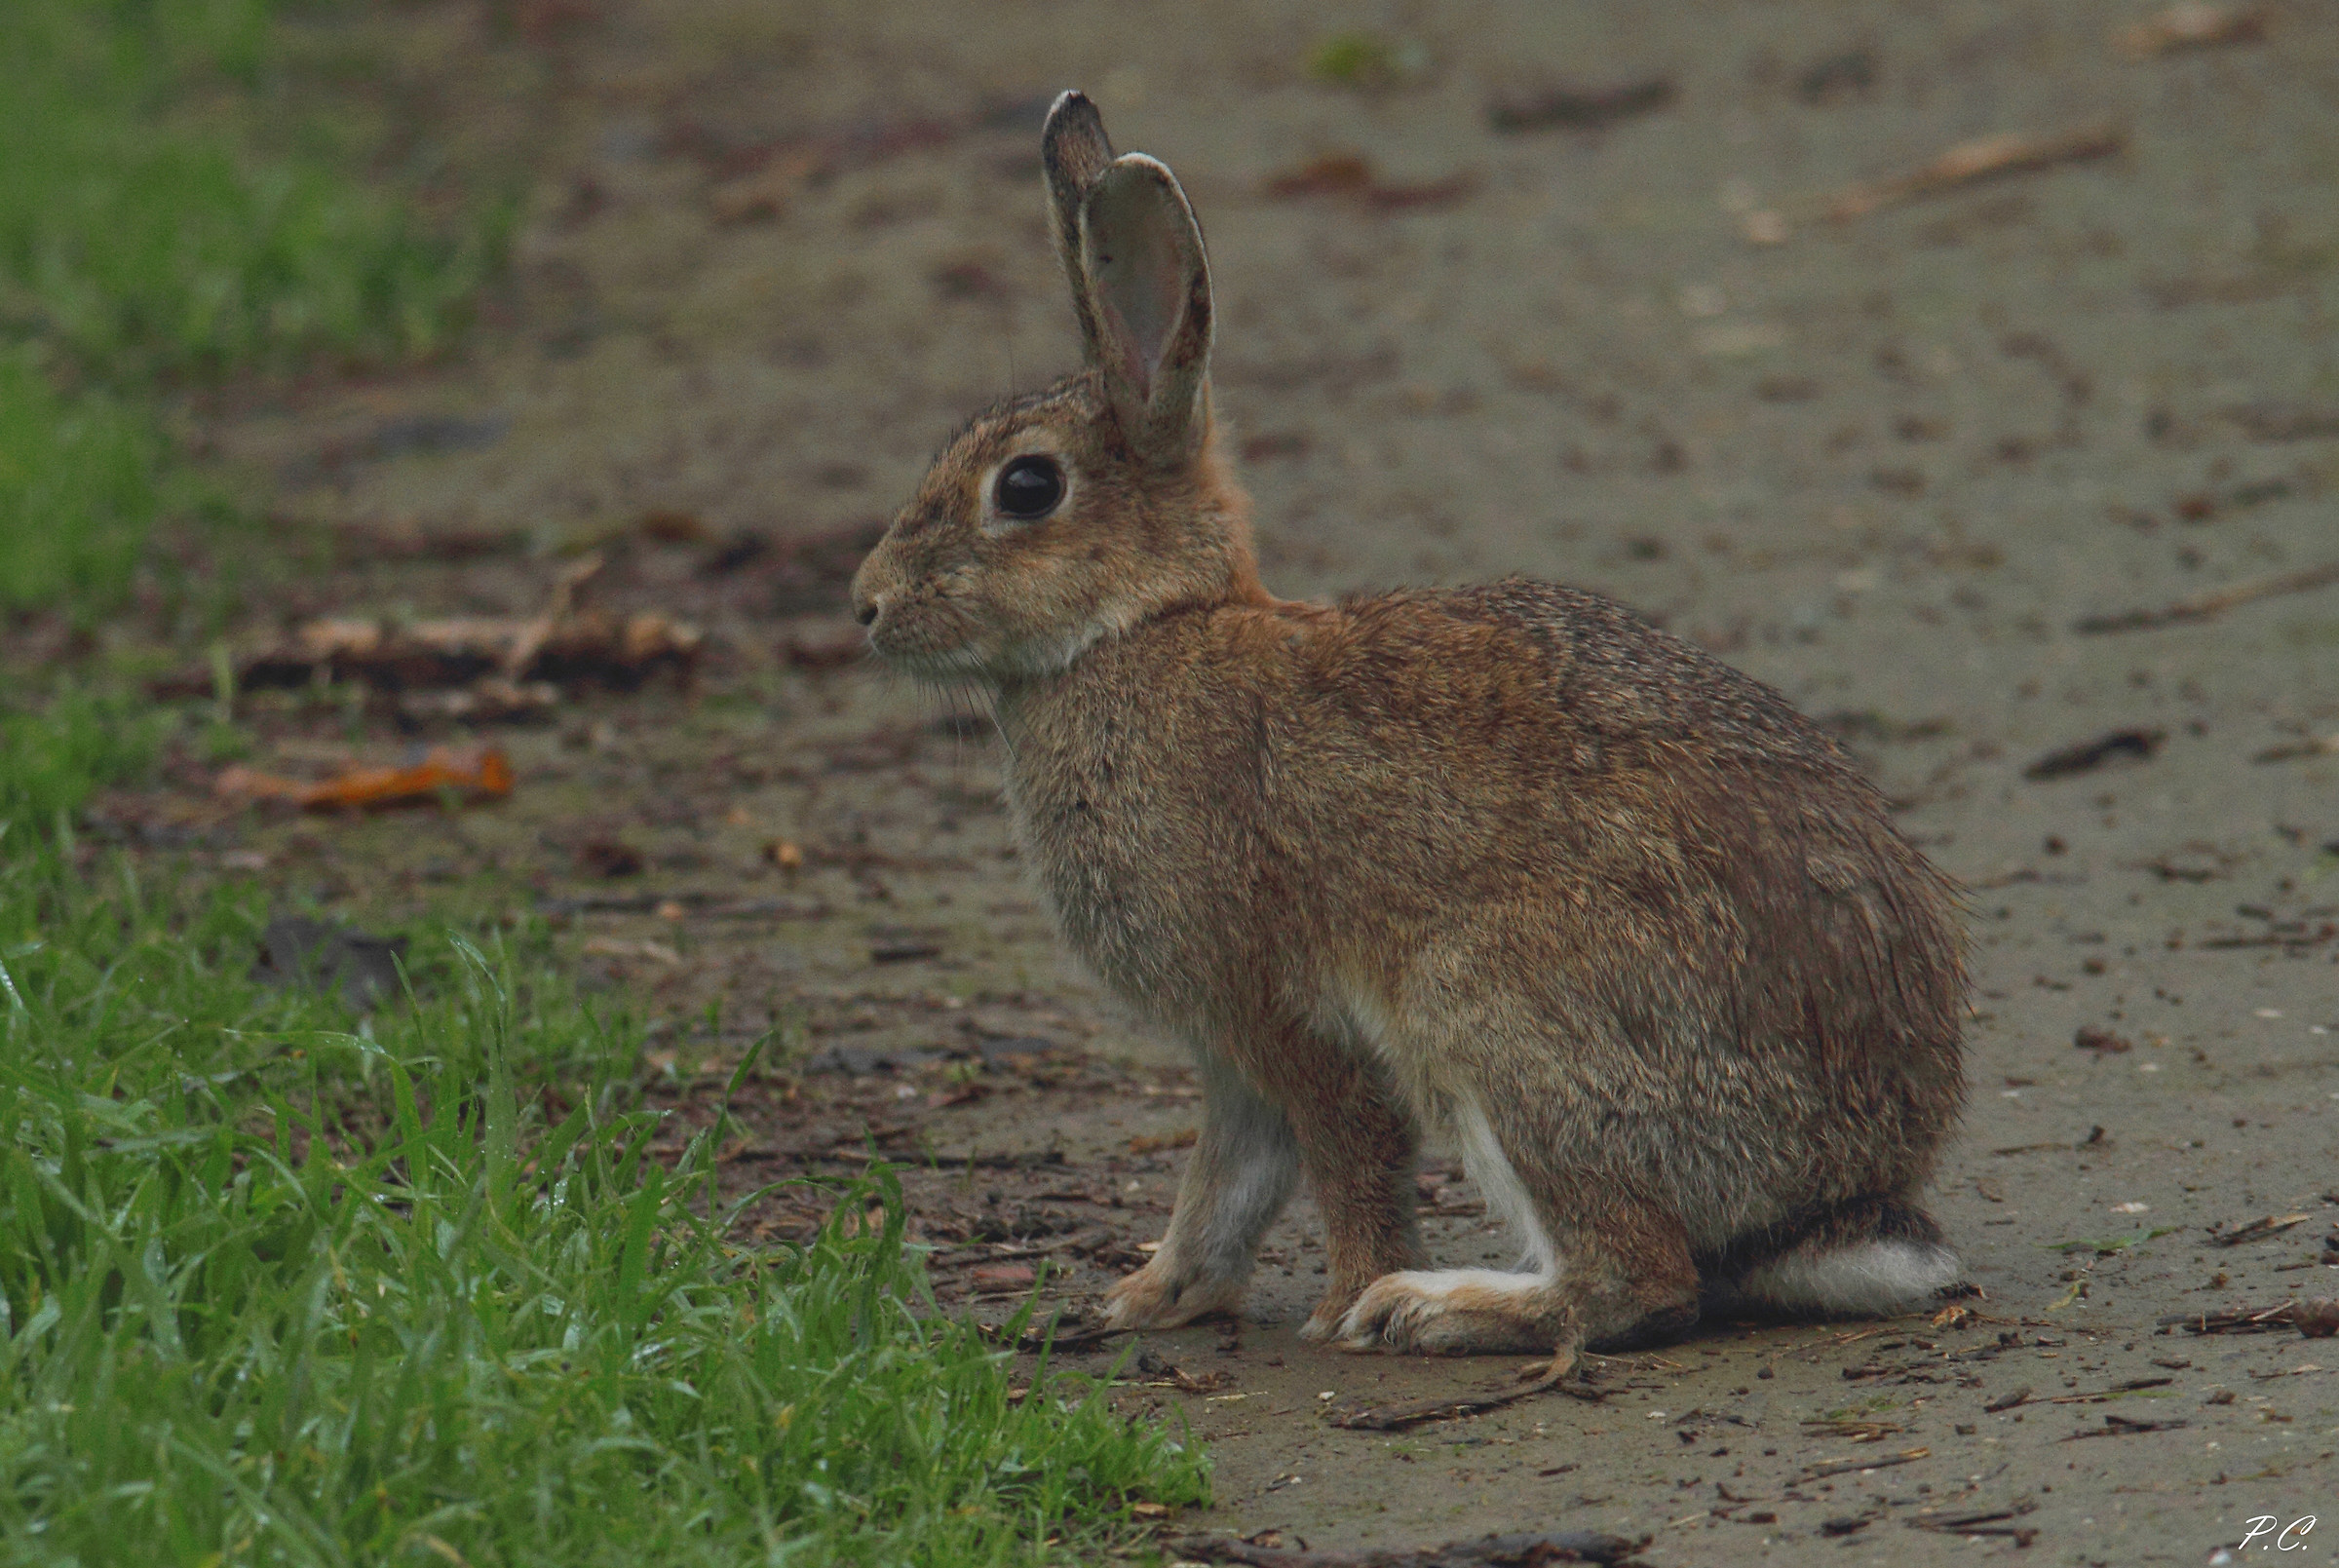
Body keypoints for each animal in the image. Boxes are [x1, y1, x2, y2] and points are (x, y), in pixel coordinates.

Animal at [848, 90, 1968, 1358]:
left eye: (1027, 489)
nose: (866, 605)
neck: (1139, 632)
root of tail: (1844, 1189)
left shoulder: (1282, 1007)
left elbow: (1345, 1158)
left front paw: (1338, 1304)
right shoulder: (1227, 1049)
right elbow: (1225, 1181)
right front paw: (1148, 1298)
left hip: (1494, 1016)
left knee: (1639, 1278)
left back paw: (1431, 1305)